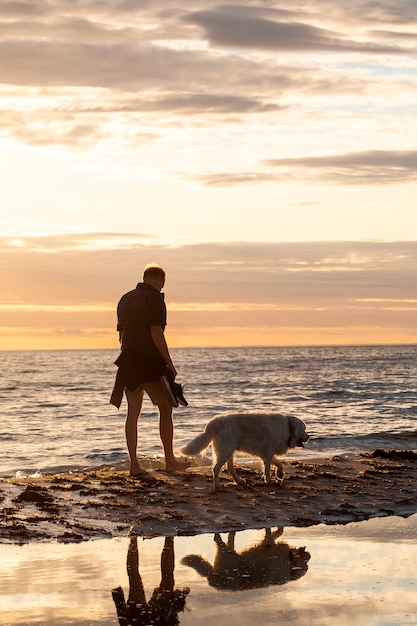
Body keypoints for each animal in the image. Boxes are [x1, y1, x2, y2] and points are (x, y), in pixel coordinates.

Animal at [180, 410, 308, 488]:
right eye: (304, 429)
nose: (309, 437)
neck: (288, 427)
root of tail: (216, 421)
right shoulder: (269, 452)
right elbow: (267, 469)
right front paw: (269, 480)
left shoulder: (266, 454)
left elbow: (278, 463)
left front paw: (280, 474)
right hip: (225, 451)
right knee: (216, 468)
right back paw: (218, 485)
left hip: (229, 451)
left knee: (230, 468)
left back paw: (239, 481)